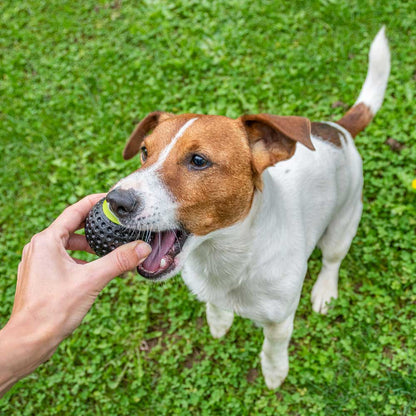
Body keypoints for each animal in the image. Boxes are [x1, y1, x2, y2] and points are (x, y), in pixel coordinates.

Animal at [105, 27, 390, 388]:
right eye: (144, 151)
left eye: (198, 160)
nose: (116, 201)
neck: (225, 258)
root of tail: (336, 130)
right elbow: (215, 307)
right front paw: (219, 321)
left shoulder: (280, 320)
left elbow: (273, 346)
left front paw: (274, 371)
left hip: (344, 221)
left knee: (332, 260)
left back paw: (325, 290)